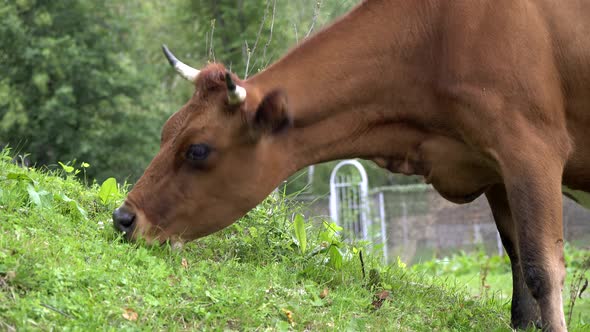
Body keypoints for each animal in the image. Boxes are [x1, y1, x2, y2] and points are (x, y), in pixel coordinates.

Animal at [112, 1, 590, 330]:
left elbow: (541, 271)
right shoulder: (491, 169)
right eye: (166, 130)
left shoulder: (531, 148)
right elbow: (518, 276)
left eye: (197, 149)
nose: (123, 218)